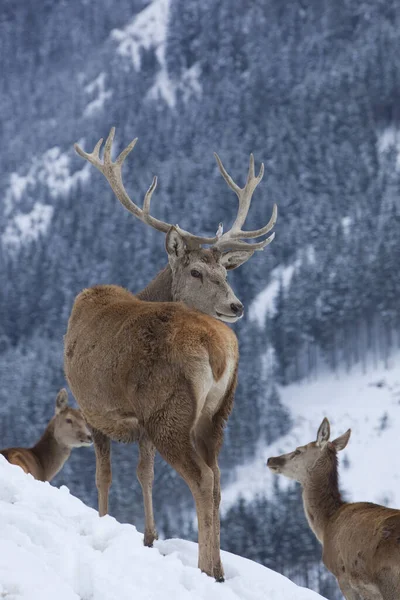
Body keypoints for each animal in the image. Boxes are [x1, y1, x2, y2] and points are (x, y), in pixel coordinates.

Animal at [65, 127, 276, 580]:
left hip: (170, 410)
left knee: (202, 479)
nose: (236, 306)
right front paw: (149, 536)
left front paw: (105, 524)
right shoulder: (137, 423)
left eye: (225, 270)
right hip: (216, 414)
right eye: (197, 271)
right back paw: (218, 570)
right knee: (218, 478)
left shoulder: (95, 408)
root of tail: (218, 348)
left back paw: (204, 569)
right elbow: (145, 475)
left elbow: (103, 476)